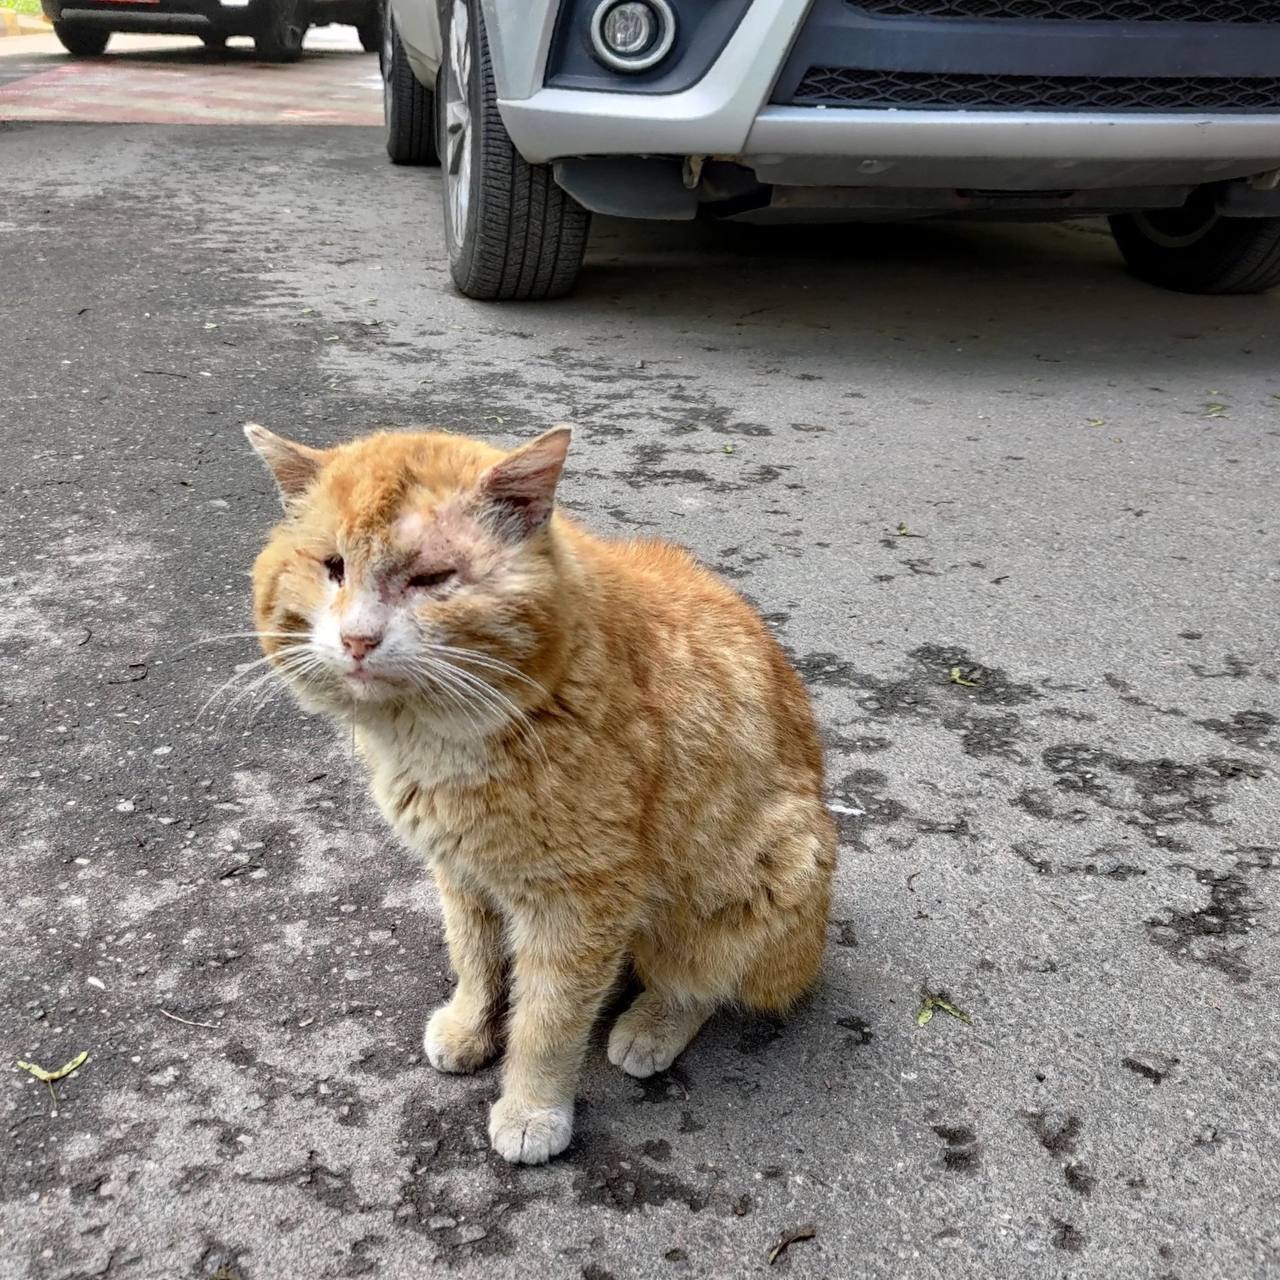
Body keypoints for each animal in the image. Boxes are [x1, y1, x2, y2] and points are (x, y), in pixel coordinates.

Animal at [243, 424, 834, 1167]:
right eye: (333, 567)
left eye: (431, 579)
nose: (357, 639)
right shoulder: (461, 871)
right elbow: (472, 960)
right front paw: (470, 1027)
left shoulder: (577, 907)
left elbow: (547, 1021)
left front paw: (531, 1109)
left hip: (769, 871)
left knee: (701, 983)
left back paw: (653, 1023)